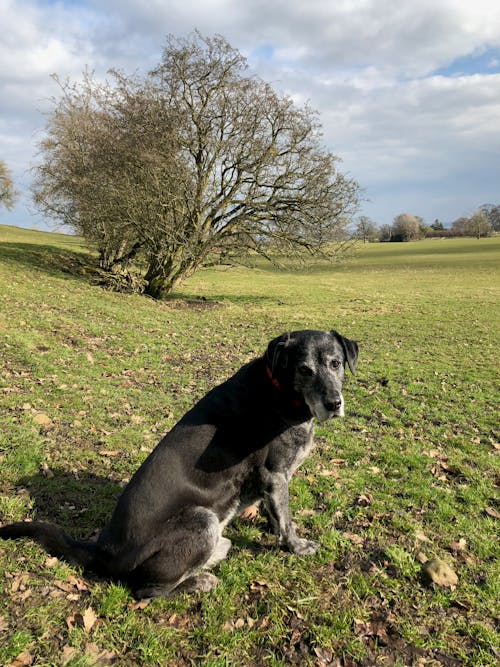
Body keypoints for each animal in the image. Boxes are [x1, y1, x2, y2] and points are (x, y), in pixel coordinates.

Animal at [0, 332, 360, 596]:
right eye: (304, 369)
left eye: (336, 363)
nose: (334, 404)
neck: (280, 389)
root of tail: (104, 551)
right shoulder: (275, 473)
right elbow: (286, 519)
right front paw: (296, 546)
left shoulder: (274, 481)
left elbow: (276, 512)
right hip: (202, 519)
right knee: (147, 590)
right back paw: (199, 581)